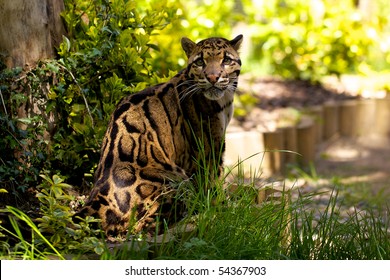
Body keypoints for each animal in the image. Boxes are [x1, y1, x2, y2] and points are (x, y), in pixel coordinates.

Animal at [75, 35, 244, 236]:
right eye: (200, 62)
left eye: (226, 60)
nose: (212, 77)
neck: (224, 100)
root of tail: (97, 198)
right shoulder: (209, 147)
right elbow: (212, 182)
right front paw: (224, 209)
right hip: (175, 180)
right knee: (144, 227)